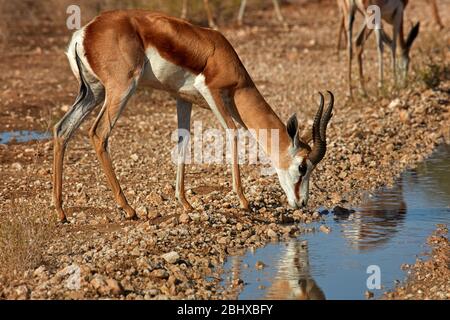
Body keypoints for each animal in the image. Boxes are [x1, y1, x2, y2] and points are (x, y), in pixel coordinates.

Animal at [53, 8, 334, 221]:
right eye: (302, 167)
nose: (302, 203)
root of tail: (84, 32)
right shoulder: (211, 91)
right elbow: (232, 132)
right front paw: (244, 201)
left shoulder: (182, 99)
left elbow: (183, 141)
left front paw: (185, 203)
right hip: (121, 88)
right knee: (98, 133)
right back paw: (128, 208)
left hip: (93, 92)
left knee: (62, 129)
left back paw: (61, 211)